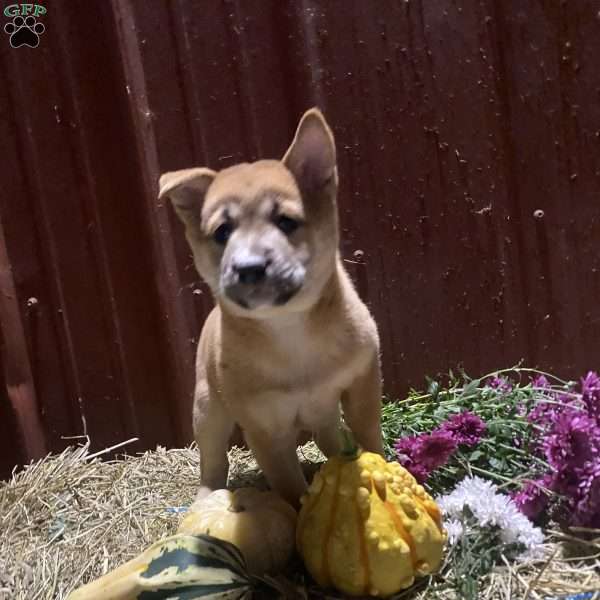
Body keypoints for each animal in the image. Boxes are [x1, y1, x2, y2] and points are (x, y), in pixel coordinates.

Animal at [158, 109, 384, 506]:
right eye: (222, 232)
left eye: (286, 221)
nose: (248, 268)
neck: (289, 328)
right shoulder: (266, 429)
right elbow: (291, 489)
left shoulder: (363, 381)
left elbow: (370, 436)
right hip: (207, 408)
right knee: (212, 458)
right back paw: (207, 495)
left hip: (322, 409)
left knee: (331, 434)